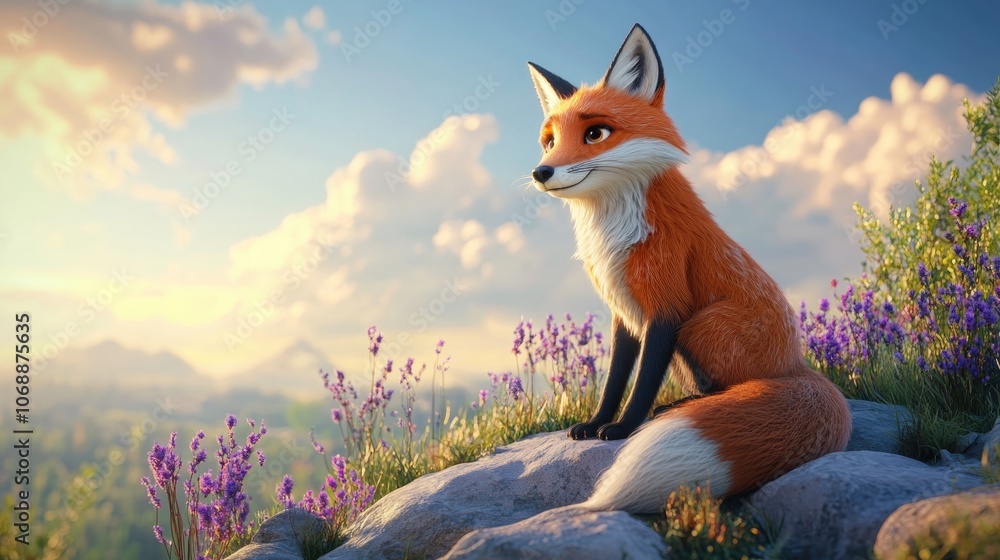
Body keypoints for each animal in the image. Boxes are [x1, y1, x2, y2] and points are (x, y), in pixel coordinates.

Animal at [526, 24, 852, 514]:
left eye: (595, 133)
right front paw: (596, 421)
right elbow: (615, 378)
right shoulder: (624, 313)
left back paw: (676, 407)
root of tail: (794, 366)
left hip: (702, 324)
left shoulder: (667, 305)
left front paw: (623, 429)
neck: (613, 229)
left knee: (722, 388)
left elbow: (642, 382)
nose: (541, 172)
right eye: (549, 140)